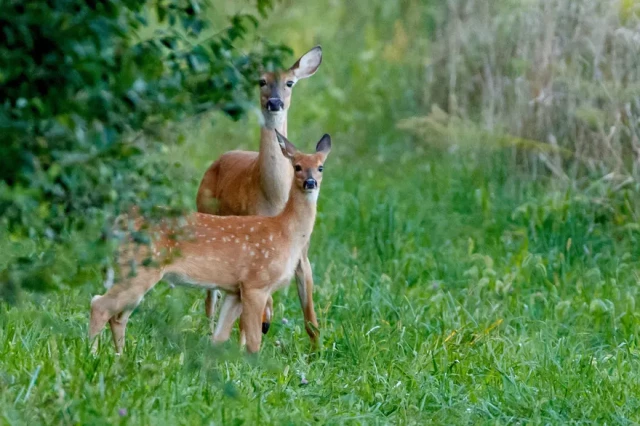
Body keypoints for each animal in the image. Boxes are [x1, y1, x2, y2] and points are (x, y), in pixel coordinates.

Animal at [92, 131, 332, 354]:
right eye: (297, 166)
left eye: (320, 167)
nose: (310, 182)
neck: (285, 232)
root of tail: (119, 222)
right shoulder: (256, 283)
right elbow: (254, 341)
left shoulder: (235, 289)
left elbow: (219, 337)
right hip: (141, 270)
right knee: (99, 305)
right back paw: (93, 354)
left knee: (117, 316)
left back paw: (119, 356)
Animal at [195, 45, 322, 342]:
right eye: (261, 81)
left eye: (290, 82)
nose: (275, 103)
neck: (275, 198)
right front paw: (261, 326)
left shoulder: (302, 254)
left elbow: (310, 314)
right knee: (210, 296)